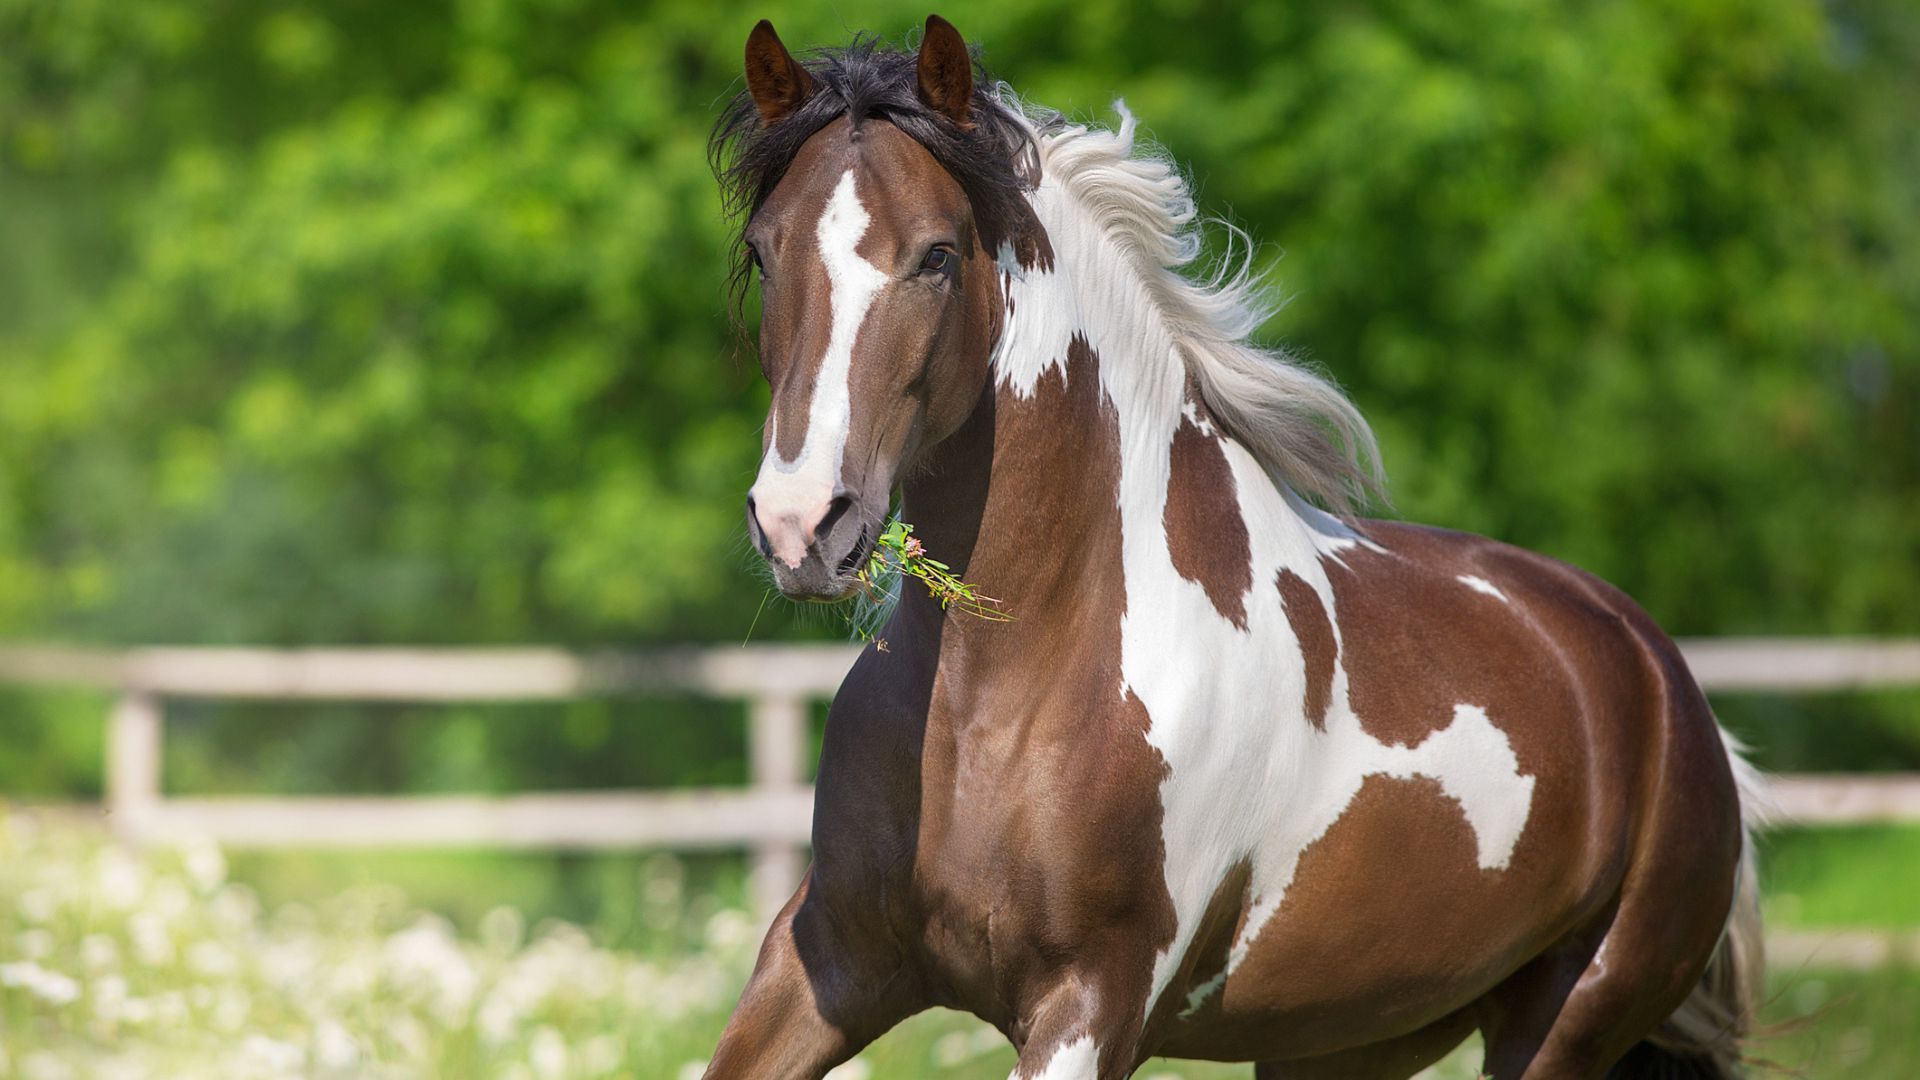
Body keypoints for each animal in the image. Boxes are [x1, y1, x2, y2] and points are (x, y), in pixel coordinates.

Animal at [703, 16, 1765, 1080]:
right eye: (764, 251)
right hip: (1344, 1040)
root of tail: (1663, 680)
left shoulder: (1090, 1001)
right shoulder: (828, 959)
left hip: (1566, 1020)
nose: (803, 524)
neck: (1002, 689)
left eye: (935, 255)